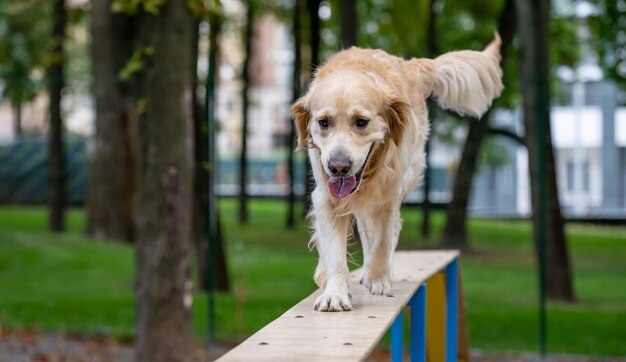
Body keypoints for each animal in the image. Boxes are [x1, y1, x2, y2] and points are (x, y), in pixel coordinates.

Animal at [288, 34, 502, 312]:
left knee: (386, 234)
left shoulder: (388, 197)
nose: (338, 166)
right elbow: (334, 250)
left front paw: (378, 281)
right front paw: (334, 292)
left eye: (361, 122)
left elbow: (383, 242)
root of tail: (410, 64)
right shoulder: (327, 197)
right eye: (323, 123)